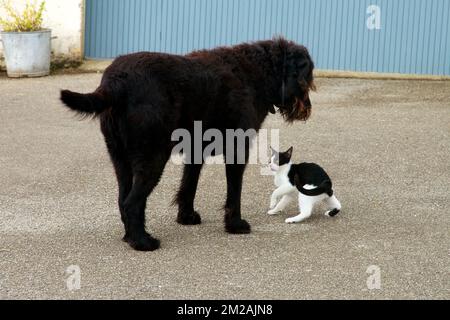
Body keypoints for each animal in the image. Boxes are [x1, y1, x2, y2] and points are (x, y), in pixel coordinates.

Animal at [60, 38, 316, 251]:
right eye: (308, 75)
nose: (308, 109)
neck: (256, 71)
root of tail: (115, 82)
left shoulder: (195, 151)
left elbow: (188, 185)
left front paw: (186, 216)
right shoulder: (237, 148)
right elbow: (234, 191)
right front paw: (235, 224)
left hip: (120, 159)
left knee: (124, 199)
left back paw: (130, 236)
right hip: (153, 158)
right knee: (132, 202)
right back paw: (143, 242)